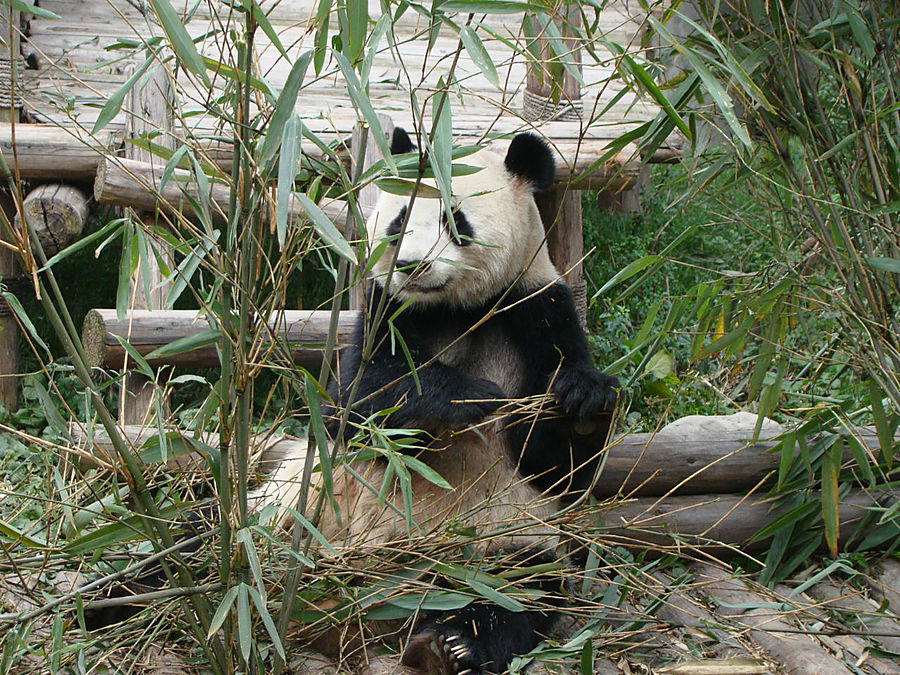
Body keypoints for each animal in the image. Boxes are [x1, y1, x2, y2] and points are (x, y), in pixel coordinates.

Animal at [253, 128, 620, 675]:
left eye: (454, 218)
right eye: (400, 217)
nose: (410, 265)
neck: (453, 307)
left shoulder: (537, 307)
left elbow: (556, 467)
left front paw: (584, 400)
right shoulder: (386, 309)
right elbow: (354, 406)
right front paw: (468, 396)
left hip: (496, 538)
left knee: (519, 588)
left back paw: (450, 646)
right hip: (290, 514)